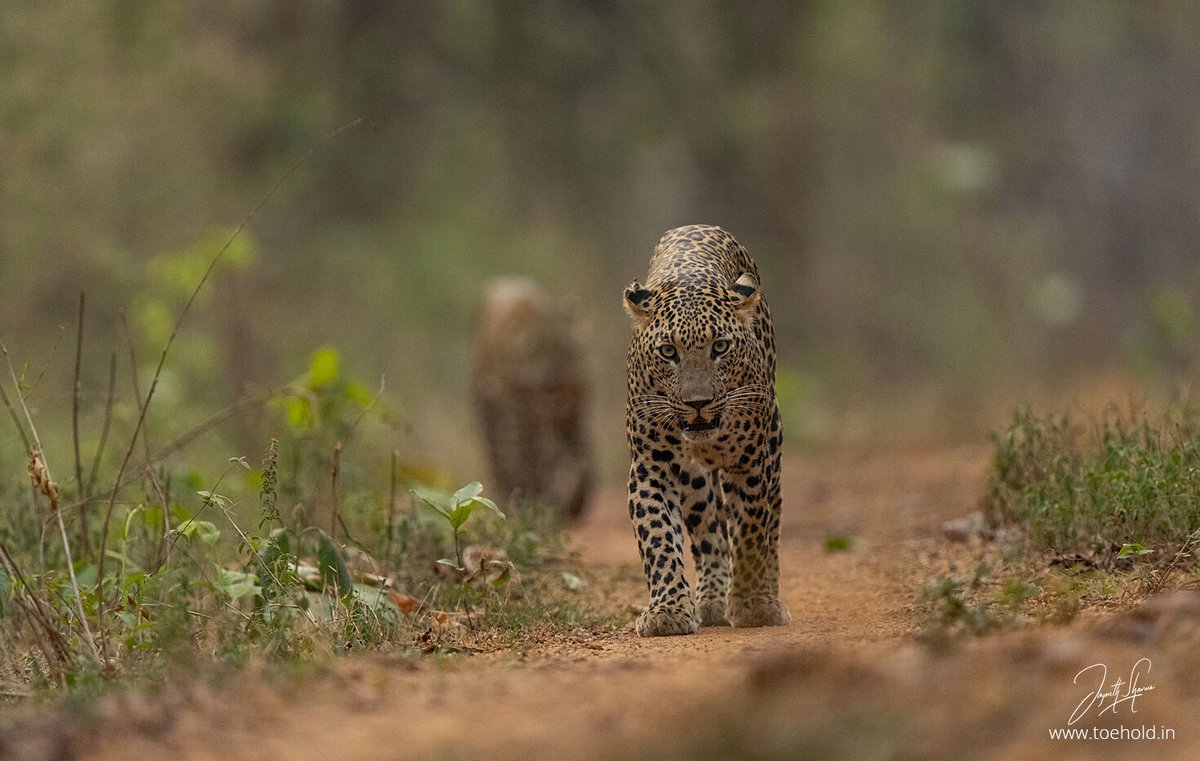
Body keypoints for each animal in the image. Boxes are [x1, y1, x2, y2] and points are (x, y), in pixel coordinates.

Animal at [622, 224, 789, 637]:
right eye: (668, 352)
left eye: (721, 347)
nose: (698, 402)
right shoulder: (650, 466)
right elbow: (658, 537)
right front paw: (667, 611)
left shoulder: (749, 460)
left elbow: (750, 531)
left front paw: (753, 605)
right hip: (695, 482)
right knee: (710, 535)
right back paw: (712, 600)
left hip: (774, 444)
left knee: (771, 523)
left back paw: (767, 596)